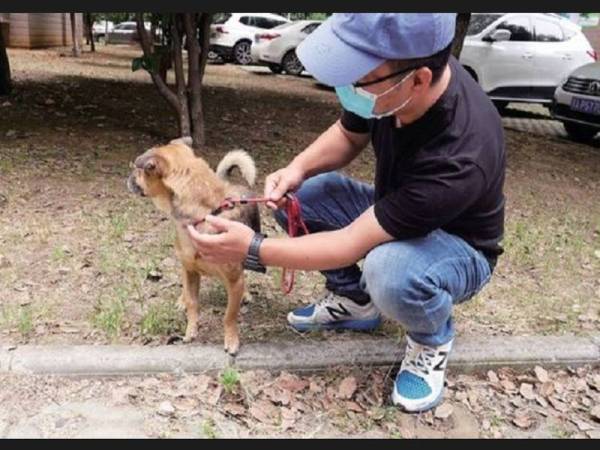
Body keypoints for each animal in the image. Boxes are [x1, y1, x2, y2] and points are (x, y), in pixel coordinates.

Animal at [126, 139, 260, 354]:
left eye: (139, 171)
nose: (129, 176)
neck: (203, 215)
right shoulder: (190, 271)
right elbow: (192, 303)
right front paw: (190, 330)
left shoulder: (234, 280)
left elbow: (229, 315)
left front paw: (231, 339)